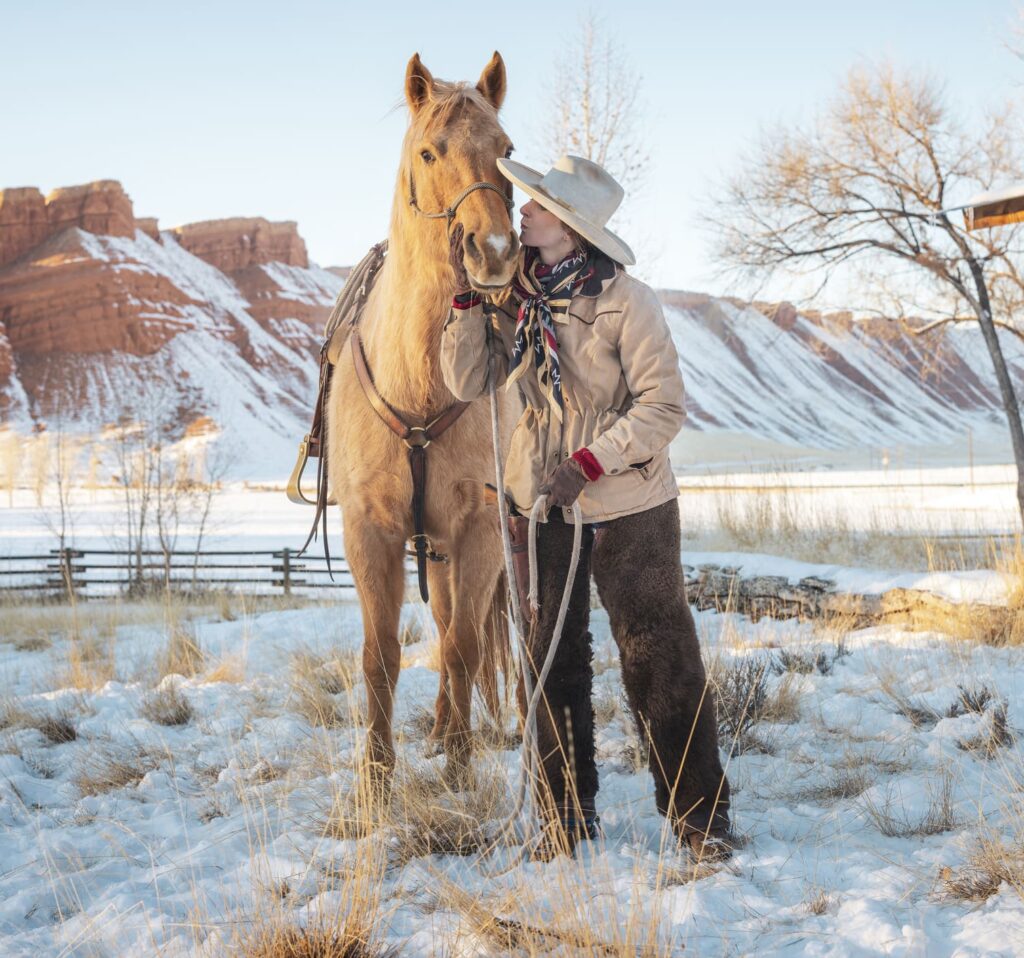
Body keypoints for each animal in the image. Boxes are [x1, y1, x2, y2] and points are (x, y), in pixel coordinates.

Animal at [326, 52, 520, 790]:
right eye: (429, 152)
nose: (493, 251)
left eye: (507, 151)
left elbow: (464, 647)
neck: (421, 385)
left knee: (455, 631)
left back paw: (450, 732)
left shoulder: (479, 530)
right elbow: (380, 654)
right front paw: (378, 778)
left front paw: (460, 768)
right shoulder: (369, 531)